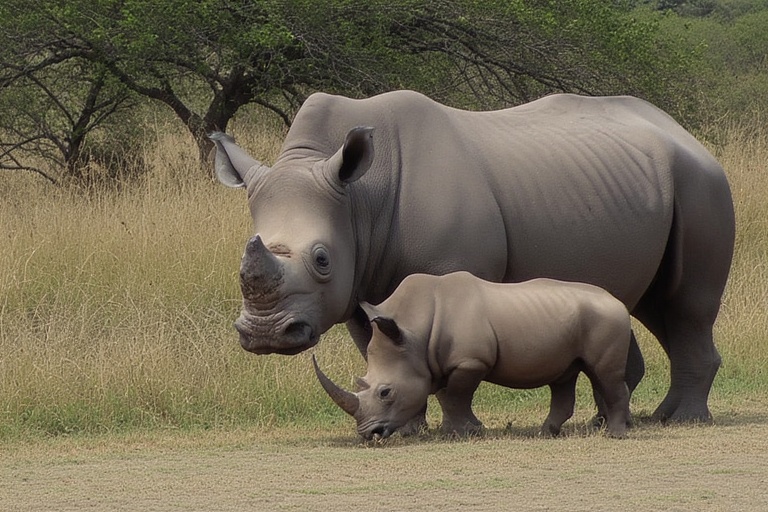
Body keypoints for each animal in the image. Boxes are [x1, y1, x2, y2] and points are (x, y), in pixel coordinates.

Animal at [312, 272, 633, 439]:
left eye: (385, 392)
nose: (368, 434)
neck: (414, 330)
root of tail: (617, 300)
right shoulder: (437, 362)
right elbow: (446, 395)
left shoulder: (470, 361)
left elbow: (457, 395)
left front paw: (462, 432)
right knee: (565, 376)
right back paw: (546, 433)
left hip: (607, 318)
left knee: (604, 374)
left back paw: (615, 434)